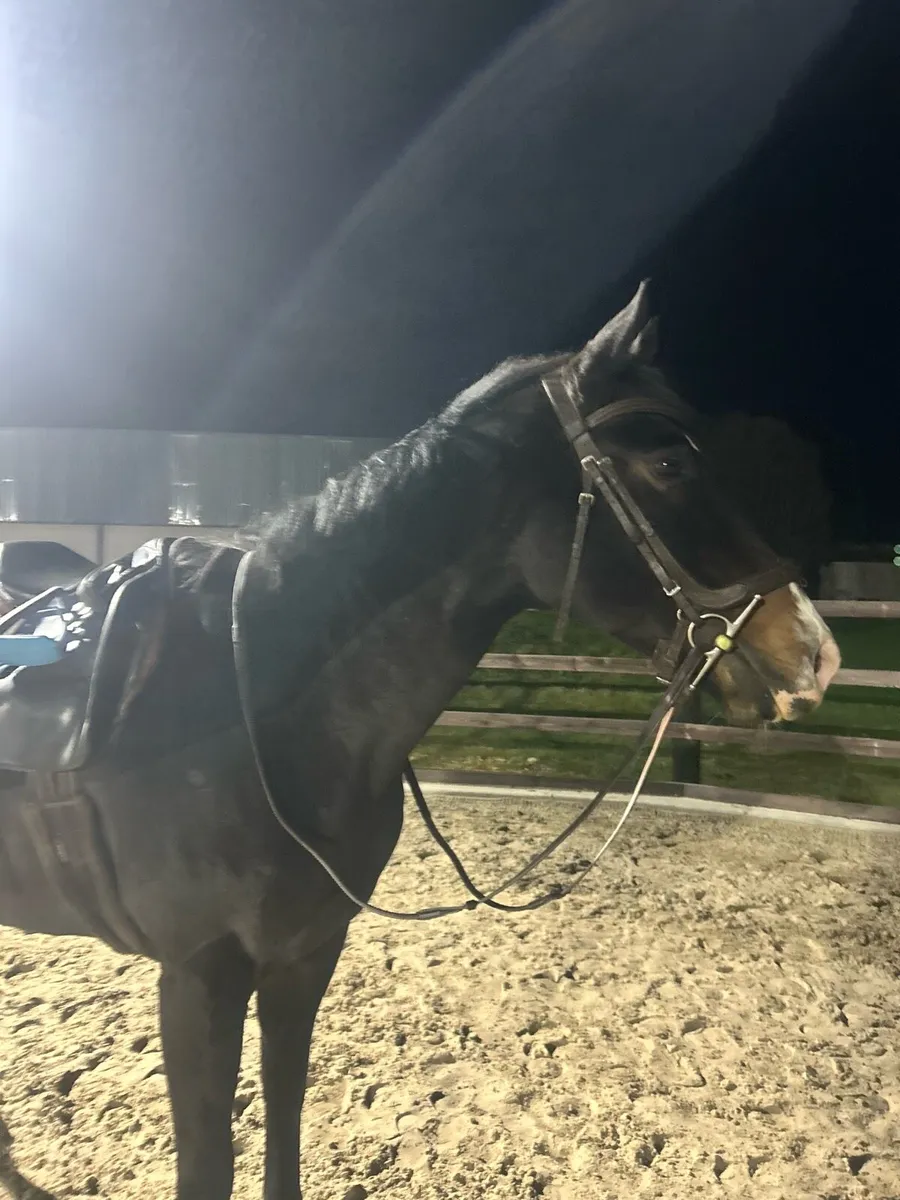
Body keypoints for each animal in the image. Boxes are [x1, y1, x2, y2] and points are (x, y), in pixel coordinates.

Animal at [0, 284, 840, 1200]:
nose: (815, 653)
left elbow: (285, 1117)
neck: (251, 707)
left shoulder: (305, 954)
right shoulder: (199, 975)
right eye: (670, 467)